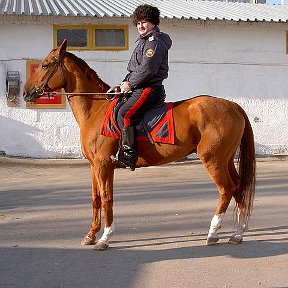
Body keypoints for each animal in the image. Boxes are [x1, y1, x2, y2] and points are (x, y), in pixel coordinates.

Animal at [23, 40, 255, 250]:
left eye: (45, 65)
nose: (26, 92)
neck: (96, 110)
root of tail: (232, 105)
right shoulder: (94, 166)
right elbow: (96, 198)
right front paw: (90, 234)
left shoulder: (103, 165)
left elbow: (106, 198)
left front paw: (105, 237)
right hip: (225, 161)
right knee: (238, 187)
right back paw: (237, 233)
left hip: (213, 161)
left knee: (226, 189)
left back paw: (213, 232)